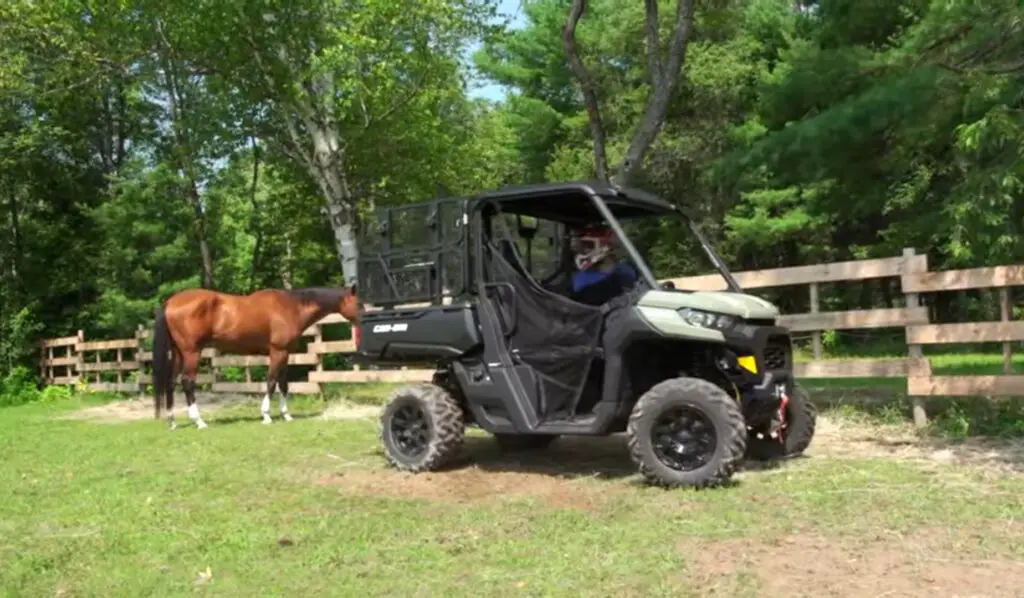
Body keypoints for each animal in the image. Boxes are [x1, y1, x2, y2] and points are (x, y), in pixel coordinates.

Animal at [149, 286, 362, 430]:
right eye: (359, 303)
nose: (364, 320)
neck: (290, 307)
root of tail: (170, 302)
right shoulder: (277, 352)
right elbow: (271, 382)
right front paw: (266, 415)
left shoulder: (285, 354)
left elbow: (284, 385)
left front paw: (286, 415)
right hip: (191, 353)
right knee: (187, 382)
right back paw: (199, 421)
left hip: (178, 353)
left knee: (171, 382)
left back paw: (172, 421)